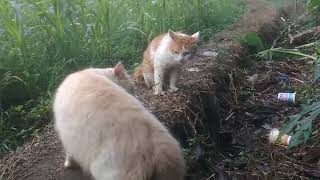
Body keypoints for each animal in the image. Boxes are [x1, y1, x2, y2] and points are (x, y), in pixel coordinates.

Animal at [53, 62, 186, 180]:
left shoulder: (67, 137)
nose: (136, 96)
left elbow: (69, 154)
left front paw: (68, 164)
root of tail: (157, 157)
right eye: (132, 89)